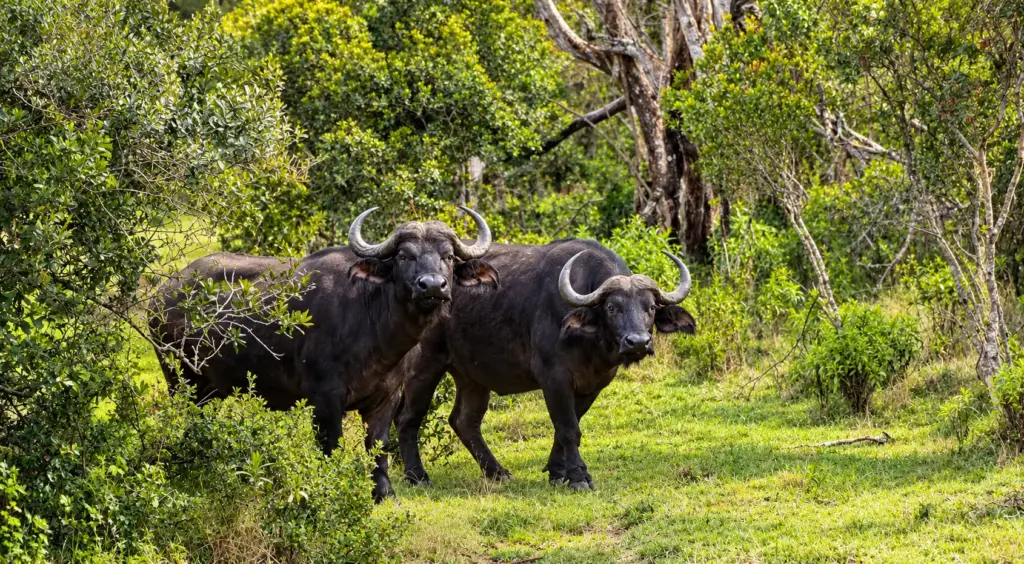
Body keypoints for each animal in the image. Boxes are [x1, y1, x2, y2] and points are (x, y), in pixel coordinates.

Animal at [150, 208, 498, 500]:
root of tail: (164, 294)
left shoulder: (387, 396)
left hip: (209, 390)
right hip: (181, 380)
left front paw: (384, 494)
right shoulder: (325, 398)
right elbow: (331, 444)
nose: (432, 286)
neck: (373, 324)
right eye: (403, 255)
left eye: (448, 256)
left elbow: (379, 446)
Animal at [396, 238, 694, 491]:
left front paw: (557, 472)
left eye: (651, 307)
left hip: (472, 376)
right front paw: (579, 477)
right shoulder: (554, 378)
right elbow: (568, 428)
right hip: (424, 365)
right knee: (408, 418)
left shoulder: (593, 385)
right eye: (612, 308)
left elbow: (565, 428)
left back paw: (497, 472)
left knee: (464, 421)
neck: (590, 341)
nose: (638, 342)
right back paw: (417, 477)